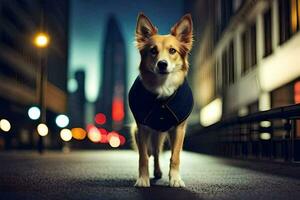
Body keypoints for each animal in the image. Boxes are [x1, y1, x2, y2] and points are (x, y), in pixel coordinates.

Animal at [127, 12, 193, 188]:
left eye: (172, 50)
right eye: (153, 51)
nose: (162, 64)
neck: (162, 87)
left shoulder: (179, 129)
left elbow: (175, 157)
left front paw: (175, 179)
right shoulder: (142, 128)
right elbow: (143, 157)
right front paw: (142, 179)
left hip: (161, 134)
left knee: (157, 152)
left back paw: (158, 172)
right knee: (153, 152)